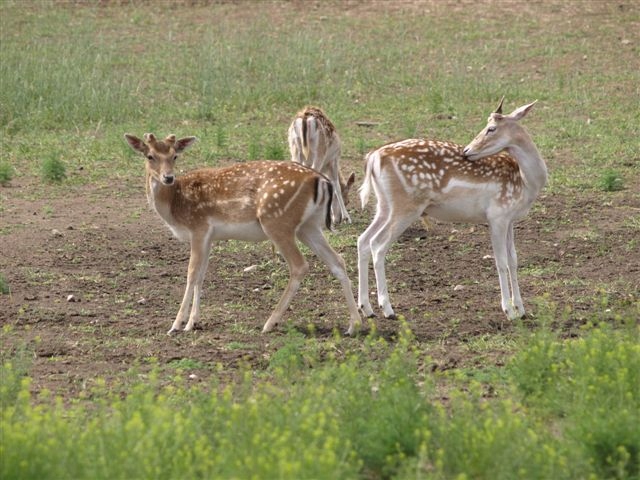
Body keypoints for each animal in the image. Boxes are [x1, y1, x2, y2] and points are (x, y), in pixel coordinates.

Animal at [125, 131, 362, 334]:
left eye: (174, 156)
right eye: (150, 156)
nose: (168, 178)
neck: (175, 205)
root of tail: (322, 180)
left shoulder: (198, 227)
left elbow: (191, 274)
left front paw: (176, 325)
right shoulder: (208, 236)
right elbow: (201, 275)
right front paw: (193, 322)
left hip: (277, 221)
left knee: (299, 265)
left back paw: (269, 323)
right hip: (308, 226)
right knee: (337, 261)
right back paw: (354, 324)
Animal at [356, 98, 544, 322]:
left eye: (491, 128)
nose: (467, 150)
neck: (525, 182)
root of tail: (373, 157)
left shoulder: (510, 219)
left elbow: (514, 260)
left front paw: (521, 309)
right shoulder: (497, 216)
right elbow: (501, 262)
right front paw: (508, 310)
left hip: (384, 205)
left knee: (363, 240)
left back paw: (366, 308)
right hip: (406, 206)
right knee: (378, 244)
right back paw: (387, 309)